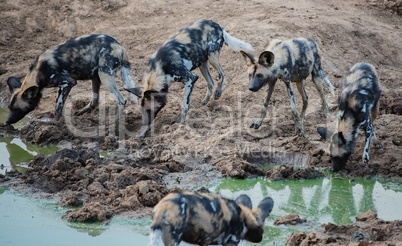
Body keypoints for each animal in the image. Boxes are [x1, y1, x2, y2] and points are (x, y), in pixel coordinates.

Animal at [5, 34, 137, 125]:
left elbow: (58, 107)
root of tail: (119, 46)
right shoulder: (63, 85)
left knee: (121, 100)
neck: (37, 73)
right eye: (9, 108)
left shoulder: (67, 83)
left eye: (17, 109)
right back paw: (80, 113)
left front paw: (52, 123)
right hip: (97, 76)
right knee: (95, 100)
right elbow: (57, 104)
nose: (7, 121)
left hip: (105, 75)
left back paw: (112, 122)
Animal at [125, 19, 253, 138]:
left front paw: (180, 123)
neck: (160, 67)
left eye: (148, 110)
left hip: (212, 57)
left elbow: (185, 105)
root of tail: (216, 24)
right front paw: (143, 132)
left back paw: (218, 93)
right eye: (142, 111)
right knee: (211, 82)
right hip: (202, 64)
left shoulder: (191, 79)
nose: (142, 123)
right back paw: (204, 102)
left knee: (222, 73)